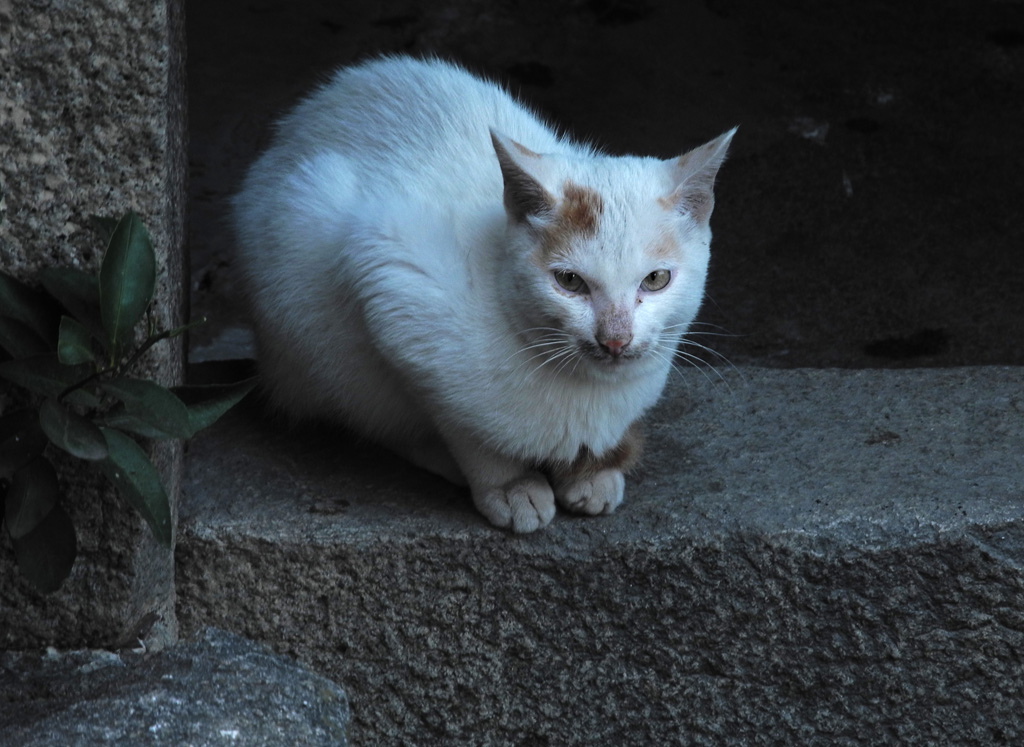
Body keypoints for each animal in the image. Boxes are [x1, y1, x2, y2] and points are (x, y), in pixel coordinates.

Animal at [234, 56, 737, 528]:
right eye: (570, 282)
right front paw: (509, 483)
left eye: (655, 280)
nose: (615, 339)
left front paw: (591, 471)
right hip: (303, 272)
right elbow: (458, 423)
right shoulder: (390, 276)